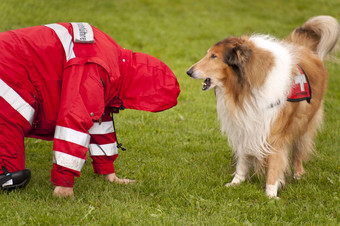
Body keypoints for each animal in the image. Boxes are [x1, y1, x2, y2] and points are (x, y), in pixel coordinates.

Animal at [187, 15, 338, 198]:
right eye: (209, 54)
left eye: (214, 56)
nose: (189, 71)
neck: (242, 89)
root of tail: (303, 47)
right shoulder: (246, 124)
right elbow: (243, 159)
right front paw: (236, 182)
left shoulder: (275, 132)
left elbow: (275, 163)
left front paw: (270, 194)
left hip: (304, 122)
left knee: (299, 149)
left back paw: (298, 174)